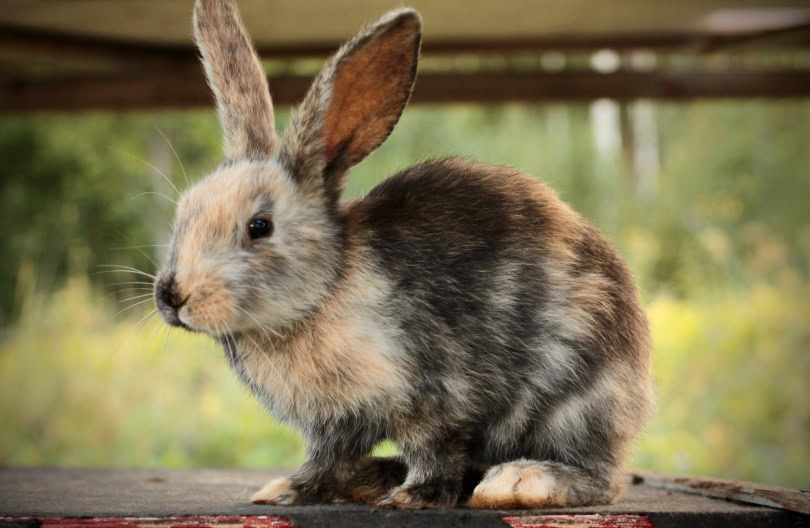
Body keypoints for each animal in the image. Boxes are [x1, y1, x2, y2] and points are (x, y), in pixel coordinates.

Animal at [153, 0, 654, 510]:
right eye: (184, 211)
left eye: (260, 227)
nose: (172, 296)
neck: (322, 294)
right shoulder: (334, 425)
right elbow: (325, 461)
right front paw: (286, 491)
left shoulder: (434, 397)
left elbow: (434, 451)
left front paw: (412, 498)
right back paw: (373, 477)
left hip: (574, 402)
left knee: (600, 477)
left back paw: (516, 482)